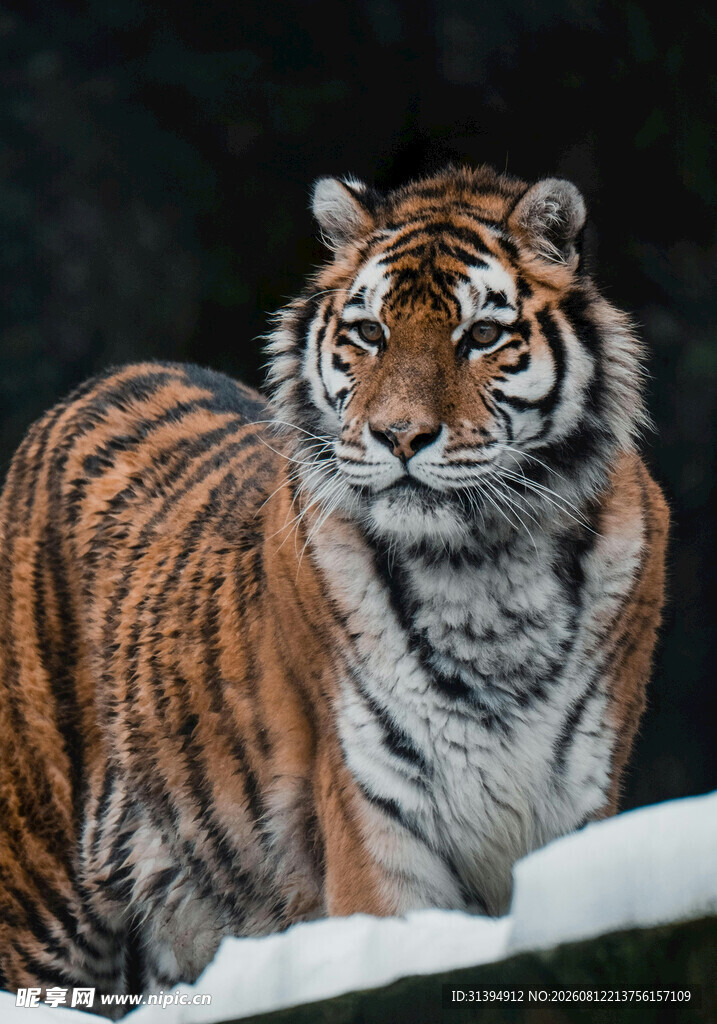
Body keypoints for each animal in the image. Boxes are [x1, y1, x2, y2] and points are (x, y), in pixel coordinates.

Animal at [0, 163, 668, 1007]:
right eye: (369, 334)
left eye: (481, 336)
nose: (400, 436)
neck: (482, 570)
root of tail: (104, 380)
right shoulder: (377, 823)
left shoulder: (574, 808)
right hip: (43, 892)